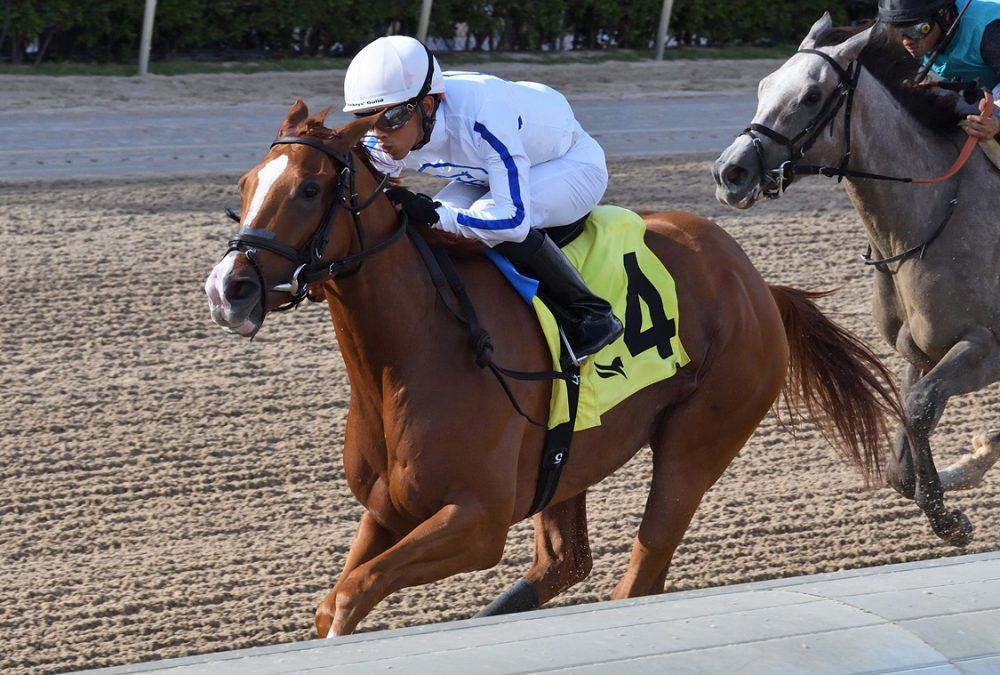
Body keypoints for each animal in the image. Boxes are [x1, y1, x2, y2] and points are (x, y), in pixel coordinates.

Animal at [205, 100, 908, 640]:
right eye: (245, 184)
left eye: (309, 189)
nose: (229, 288)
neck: (407, 357)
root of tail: (757, 281)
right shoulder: (389, 509)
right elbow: (337, 599)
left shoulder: (477, 520)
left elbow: (350, 596)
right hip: (568, 459)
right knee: (564, 563)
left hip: (699, 440)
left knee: (642, 572)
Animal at [712, 11, 1000, 548]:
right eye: (764, 85)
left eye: (810, 96)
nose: (730, 173)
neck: (927, 218)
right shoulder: (919, 351)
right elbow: (905, 443)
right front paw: (957, 480)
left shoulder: (986, 346)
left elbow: (919, 408)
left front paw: (949, 516)